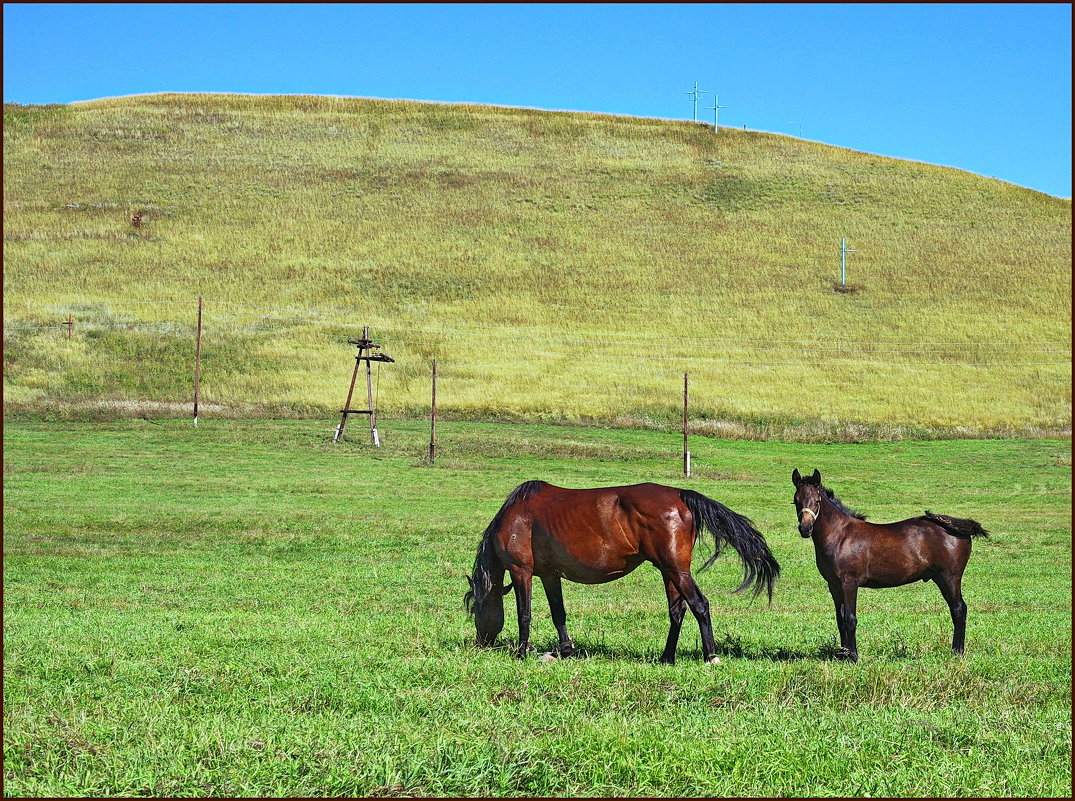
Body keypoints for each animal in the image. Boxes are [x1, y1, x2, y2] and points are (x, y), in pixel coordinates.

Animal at [466, 481, 778, 662]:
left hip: (676, 570)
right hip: (669, 571)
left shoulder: (521, 571)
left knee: (699, 605)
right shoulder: (550, 575)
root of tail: (680, 495)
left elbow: (524, 613)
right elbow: (558, 613)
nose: (481, 643)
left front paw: (521, 652)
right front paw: (566, 650)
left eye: (475, 609)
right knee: (677, 611)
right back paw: (666, 657)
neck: (517, 515)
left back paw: (710, 655)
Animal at [795, 462, 984, 662]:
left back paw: (958, 652)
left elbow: (850, 619)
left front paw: (853, 656)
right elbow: (840, 619)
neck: (840, 536)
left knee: (959, 609)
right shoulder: (834, 586)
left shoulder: (849, 583)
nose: (805, 528)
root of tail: (959, 528)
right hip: (941, 578)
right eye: (796, 500)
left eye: (817, 501)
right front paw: (843, 654)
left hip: (950, 578)